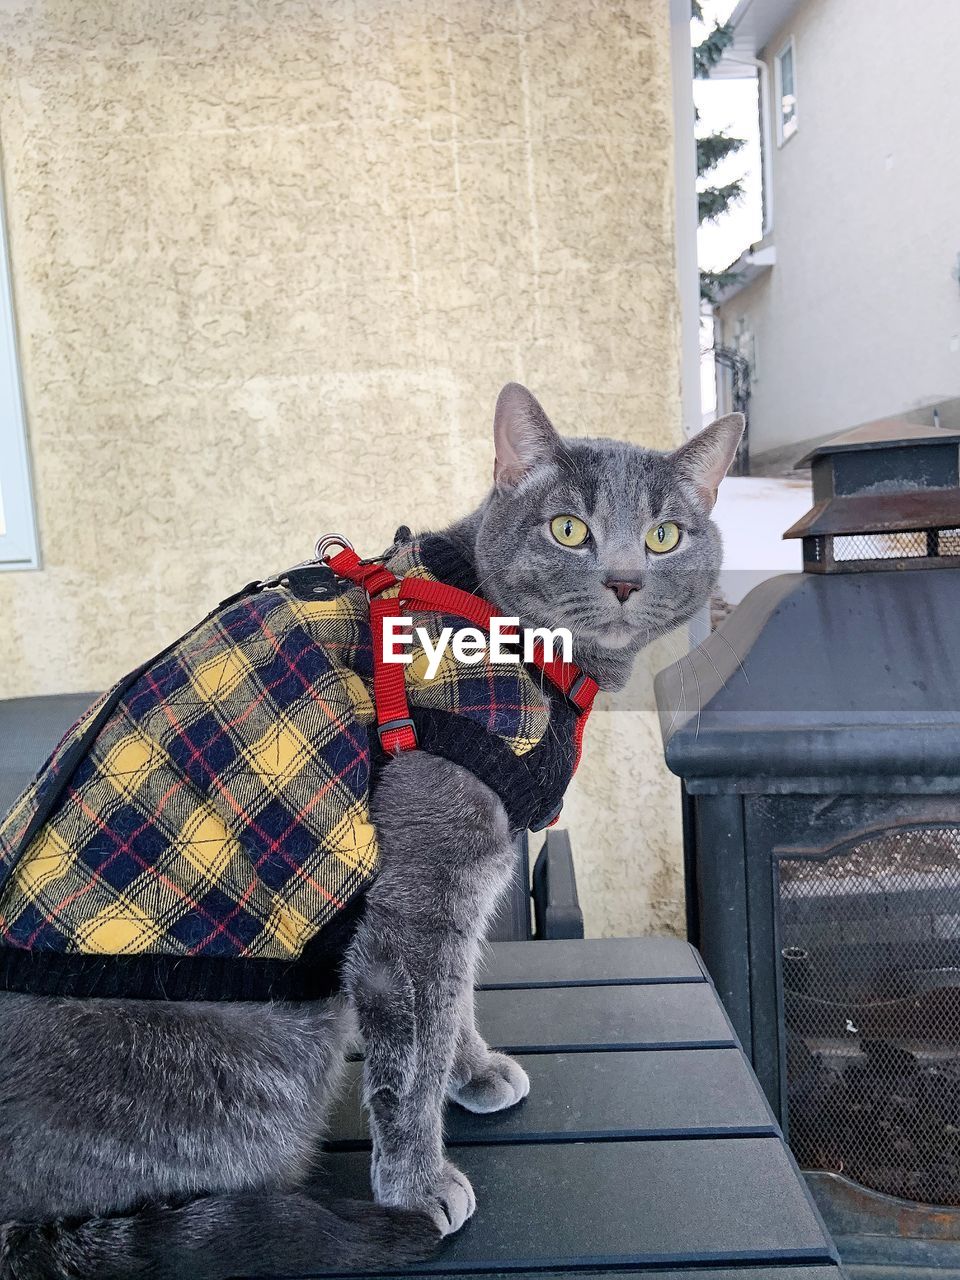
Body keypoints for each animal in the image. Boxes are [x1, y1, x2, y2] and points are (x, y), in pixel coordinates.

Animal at [0, 381, 742, 1280]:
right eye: (570, 528)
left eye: (666, 535)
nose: (628, 579)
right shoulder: (424, 884)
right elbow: (412, 1047)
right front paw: (417, 1182)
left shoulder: (472, 876)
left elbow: (454, 1001)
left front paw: (473, 1070)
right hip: (272, 1059)